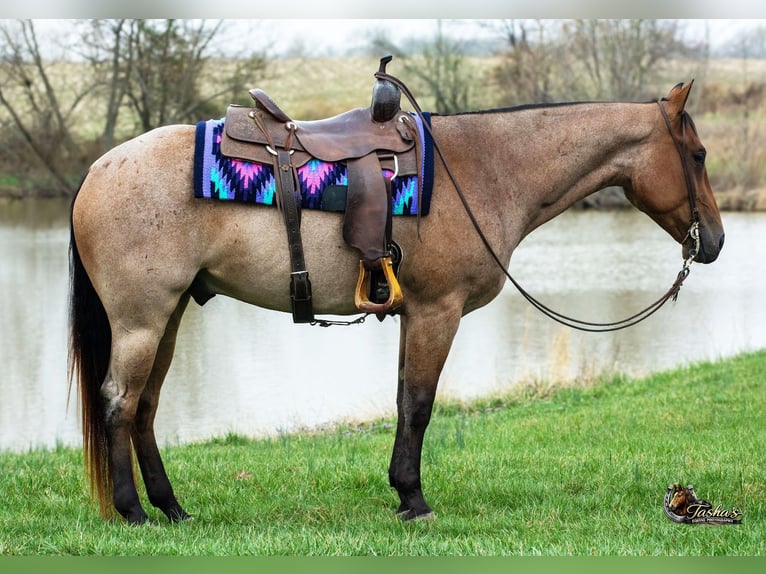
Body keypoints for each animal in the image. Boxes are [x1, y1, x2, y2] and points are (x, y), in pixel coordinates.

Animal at [69, 80, 724, 524]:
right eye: (697, 156)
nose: (714, 241)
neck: (485, 168)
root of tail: (96, 170)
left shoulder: (415, 316)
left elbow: (406, 401)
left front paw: (401, 492)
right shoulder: (438, 312)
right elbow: (420, 406)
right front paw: (414, 497)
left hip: (170, 314)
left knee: (147, 407)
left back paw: (171, 507)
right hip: (141, 320)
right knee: (119, 403)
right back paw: (133, 511)